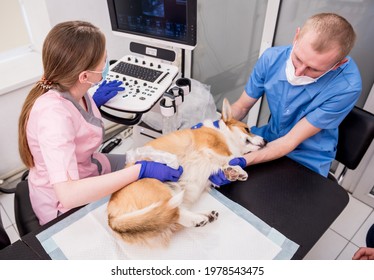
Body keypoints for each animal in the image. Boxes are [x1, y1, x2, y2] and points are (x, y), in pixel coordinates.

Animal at [106, 99, 266, 247]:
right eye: (247, 129)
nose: (265, 140)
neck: (222, 133)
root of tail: (111, 217)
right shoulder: (213, 147)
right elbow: (230, 157)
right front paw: (238, 168)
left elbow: (227, 165)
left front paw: (234, 173)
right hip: (159, 189)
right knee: (176, 213)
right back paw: (198, 219)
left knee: (173, 216)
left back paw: (206, 216)